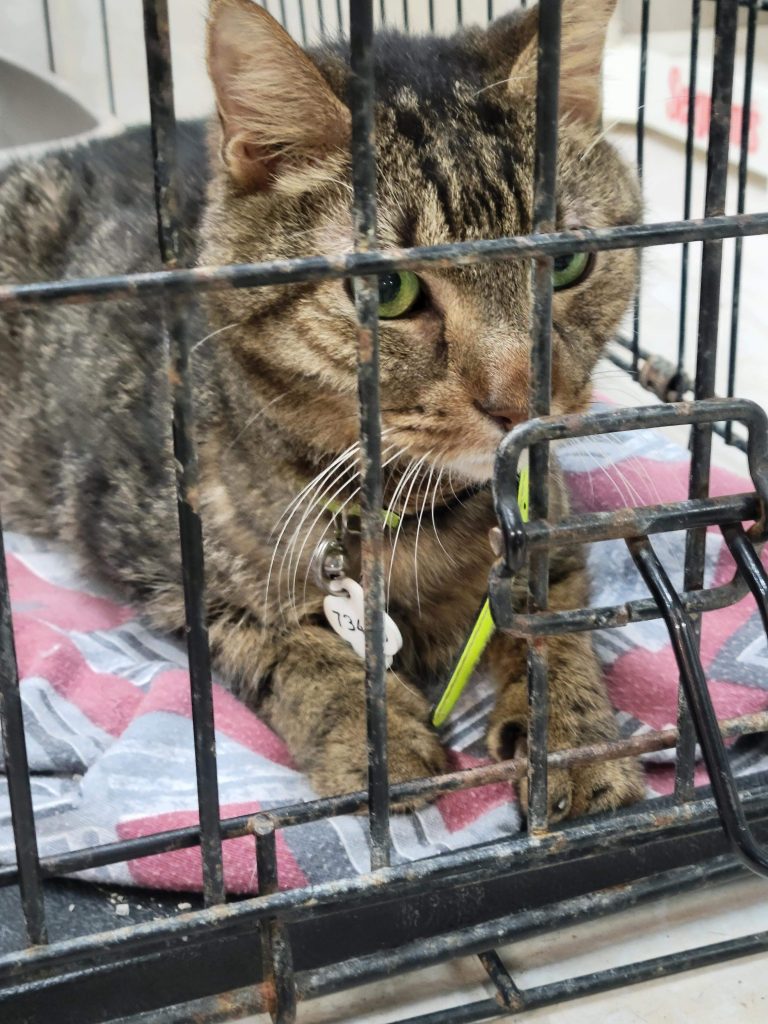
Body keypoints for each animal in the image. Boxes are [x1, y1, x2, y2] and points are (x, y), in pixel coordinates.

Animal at [0, 0, 644, 821]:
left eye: (565, 262)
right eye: (387, 291)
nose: (519, 399)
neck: (416, 513)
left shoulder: (549, 524)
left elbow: (558, 625)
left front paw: (574, 741)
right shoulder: (167, 565)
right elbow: (294, 644)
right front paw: (377, 741)